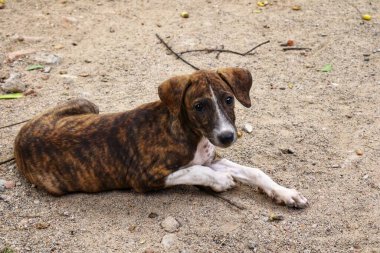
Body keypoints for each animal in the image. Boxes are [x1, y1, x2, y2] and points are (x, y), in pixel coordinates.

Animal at [14, 67, 308, 208]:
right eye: (199, 106)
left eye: (228, 99)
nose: (226, 137)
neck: (190, 133)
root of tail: (22, 134)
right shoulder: (144, 176)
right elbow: (195, 171)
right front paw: (222, 181)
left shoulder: (212, 157)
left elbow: (254, 171)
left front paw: (285, 194)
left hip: (88, 105)